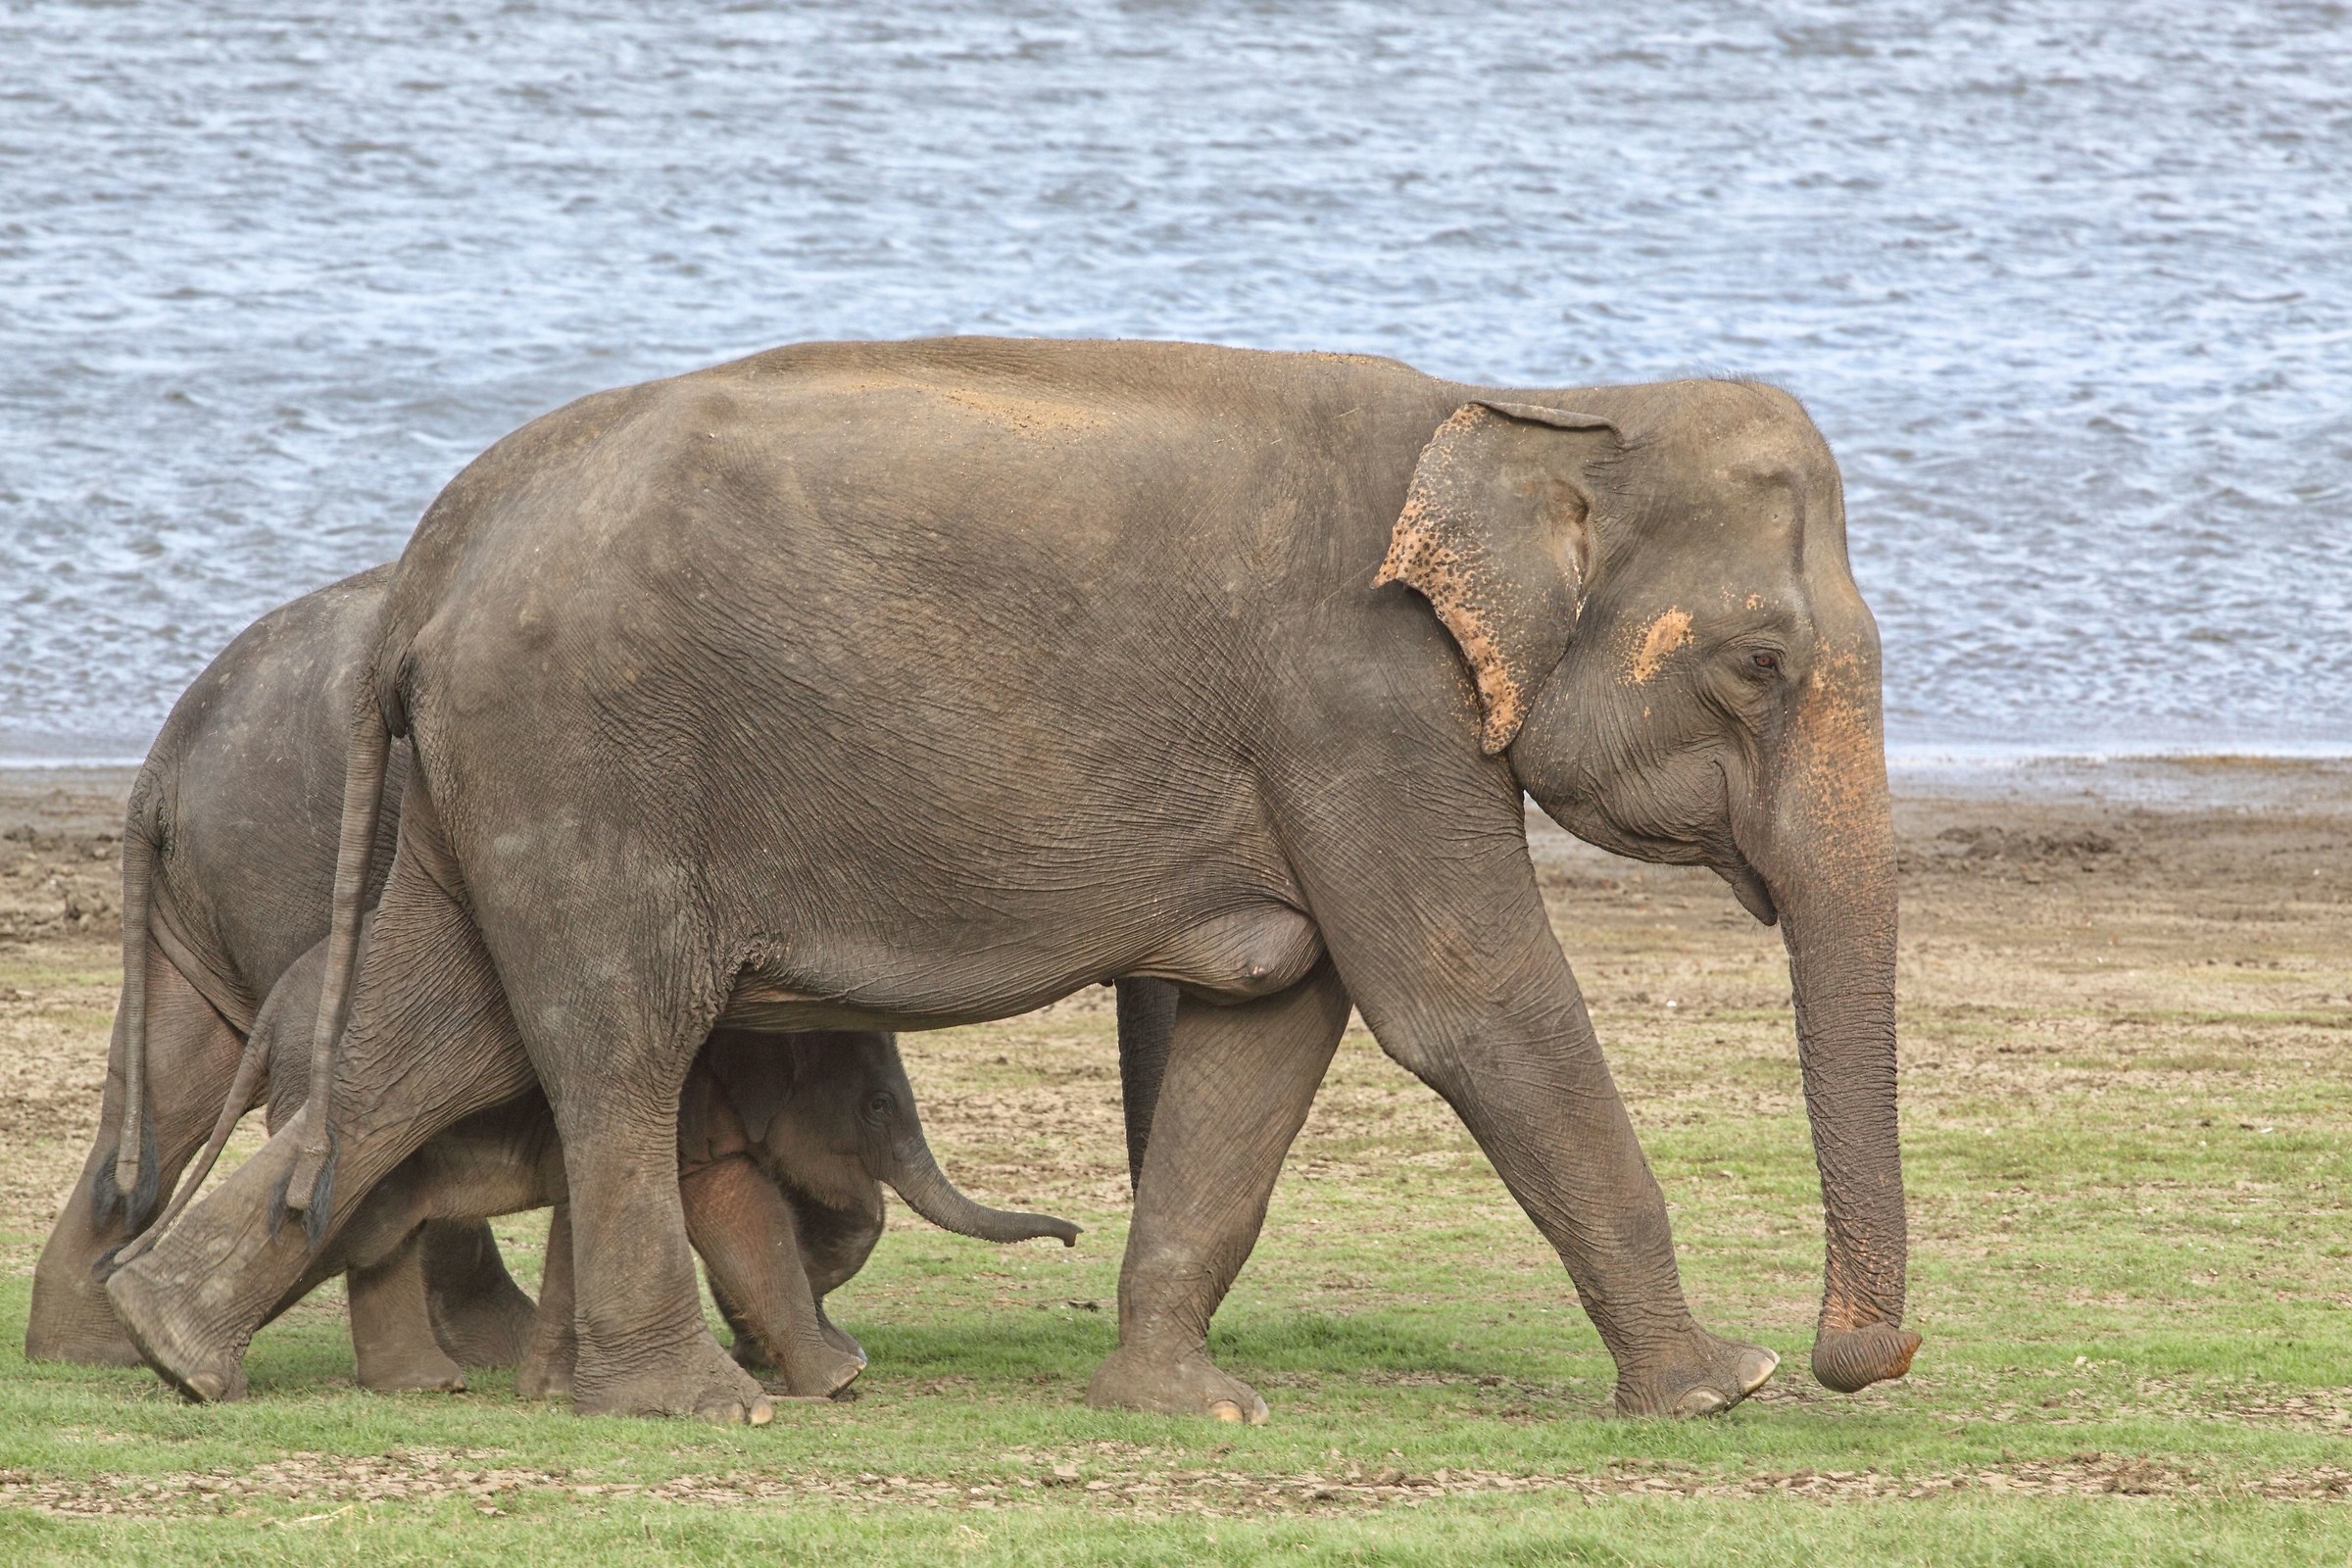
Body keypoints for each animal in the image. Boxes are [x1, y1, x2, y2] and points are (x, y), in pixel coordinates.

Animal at [31, 567, 1076, 1397]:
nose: (1069, 1241)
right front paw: (804, 1359)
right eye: (873, 1107)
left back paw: (89, 1345)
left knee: (167, 1084)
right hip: (293, 861)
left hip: (211, 902)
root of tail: (162, 759)